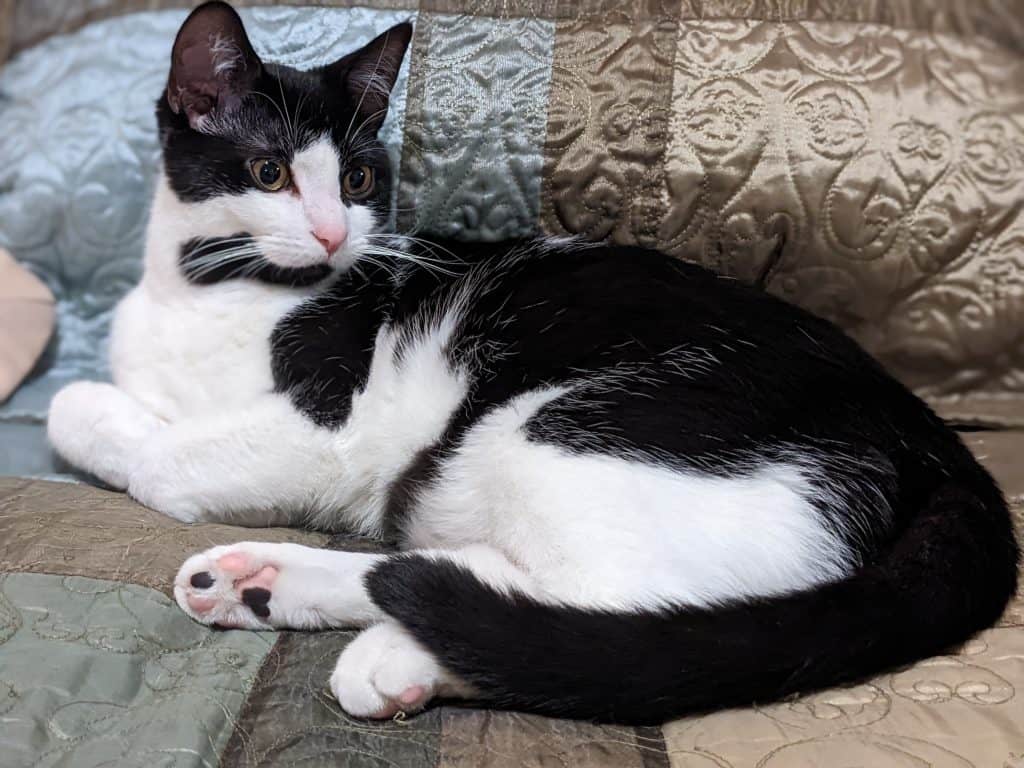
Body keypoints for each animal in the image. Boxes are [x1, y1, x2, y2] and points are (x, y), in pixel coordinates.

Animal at [46, 0, 1015, 724]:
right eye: (268, 171)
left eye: (357, 181)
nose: (331, 235)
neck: (205, 289)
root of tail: (931, 437)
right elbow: (80, 411)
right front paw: (114, 414)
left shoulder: (331, 428)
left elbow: (161, 462)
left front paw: (131, 437)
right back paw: (267, 586)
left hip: (576, 425)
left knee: (618, 620)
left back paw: (386, 641)